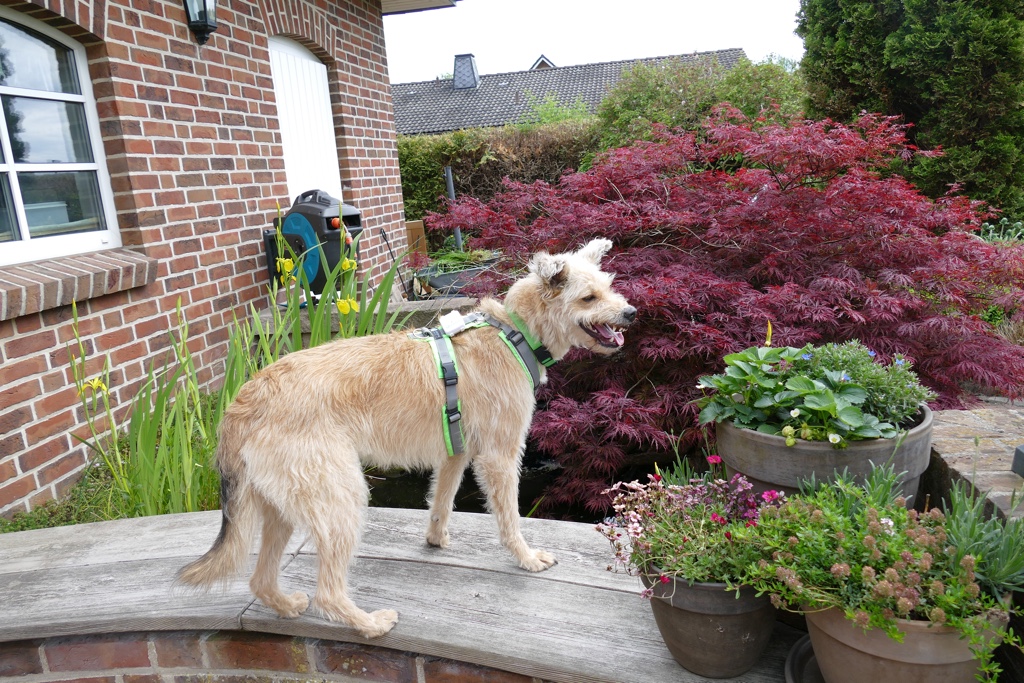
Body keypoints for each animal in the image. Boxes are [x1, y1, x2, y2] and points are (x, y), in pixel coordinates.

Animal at [180, 237, 634, 638]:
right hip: (341, 497)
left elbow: (441, 502)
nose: (630, 312)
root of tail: (244, 399)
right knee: (327, 593)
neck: (513, 333)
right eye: (588, 298)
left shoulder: (456, 454)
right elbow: (509, 518)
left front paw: (435, 540)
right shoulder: (500, 457)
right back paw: (368, 624)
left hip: (282, 506)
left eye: (609, 286)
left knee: (259, 579)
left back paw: (286, 605)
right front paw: (525, 557)